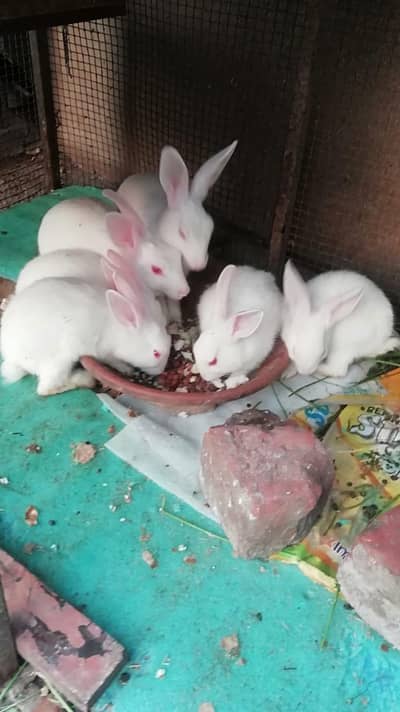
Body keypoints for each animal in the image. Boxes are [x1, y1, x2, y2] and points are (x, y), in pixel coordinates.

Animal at [0, 266, 171, 396]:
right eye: (156, 353)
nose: (162, 370)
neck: (120, 329)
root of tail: (12, 358)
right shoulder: (105, 353)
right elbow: (115, 362)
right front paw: (127, 369)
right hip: (59, 362)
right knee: (45, 389)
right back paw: (83, 380)